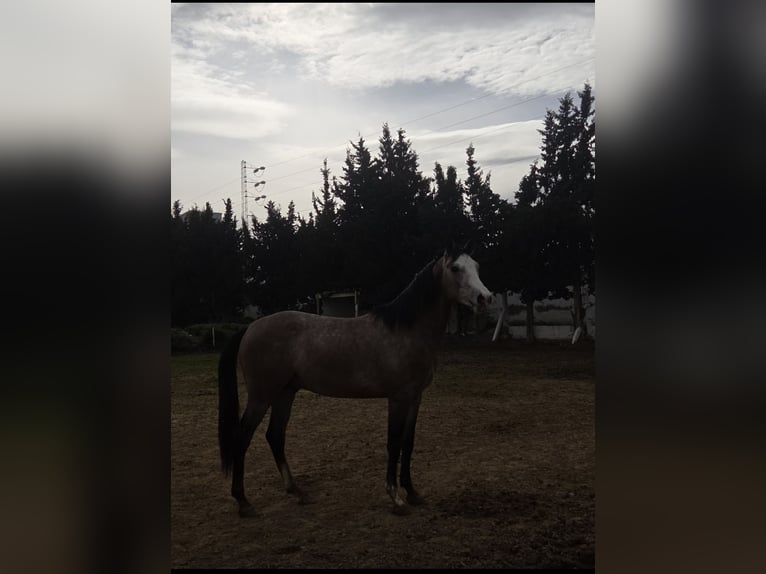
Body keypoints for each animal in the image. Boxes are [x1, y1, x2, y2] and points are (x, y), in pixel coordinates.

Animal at [217, 244, 493, 517]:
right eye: (456, 268)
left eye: (477, 266)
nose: (486, 298)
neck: (405, 330)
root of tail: (250, 328)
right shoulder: (398, 398)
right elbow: (394, 442)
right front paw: (396, 498)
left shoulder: (415, 397)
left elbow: (408, 442)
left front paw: (413, 493)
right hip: (261, 396)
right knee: (242, 437)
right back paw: (243, 502)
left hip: (285, 393)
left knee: (275, 435)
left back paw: (297, 491)